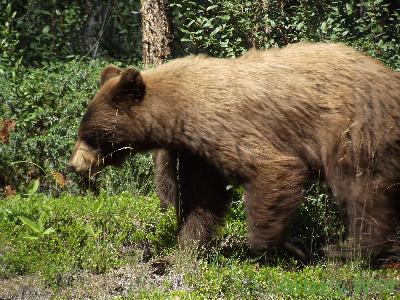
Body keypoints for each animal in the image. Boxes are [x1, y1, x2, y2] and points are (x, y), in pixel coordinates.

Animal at [69, 42, 400, 260]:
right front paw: (187, 245)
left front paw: (276, 245)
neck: (176, 114)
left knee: (359, 187)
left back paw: (350, 249)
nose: (74, 166)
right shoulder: (193, 152)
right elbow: (201, 197)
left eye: (89, 136)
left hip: (355, 127)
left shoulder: (222, 126)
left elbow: (272, 168)